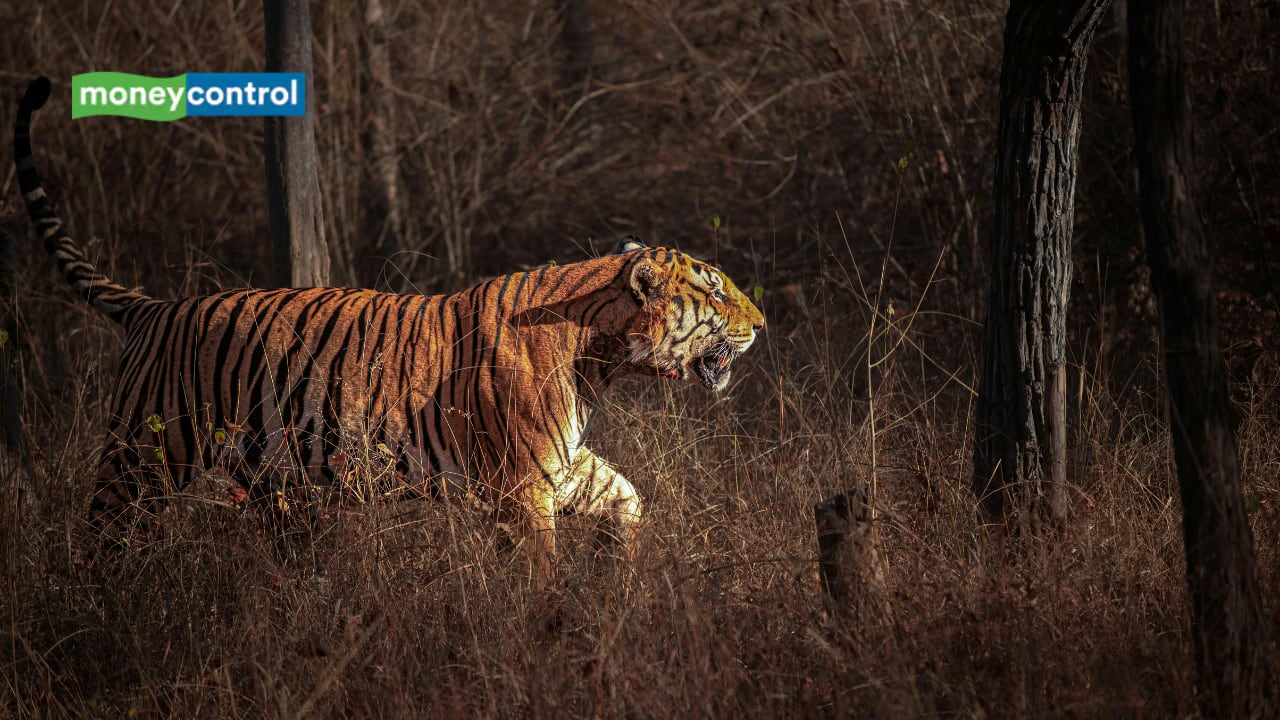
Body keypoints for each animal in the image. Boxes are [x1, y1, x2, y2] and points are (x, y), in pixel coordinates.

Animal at [14, 76, 765, 578]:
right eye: (714, 289)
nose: (762, 322)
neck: (600, 358)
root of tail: (155, 308)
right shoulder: (522, 486)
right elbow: (538, 574)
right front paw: (553, 631)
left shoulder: (563, 467)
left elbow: (627, 498)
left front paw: (619, 576)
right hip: (140, 461)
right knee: (97, 543)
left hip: (271, 481)